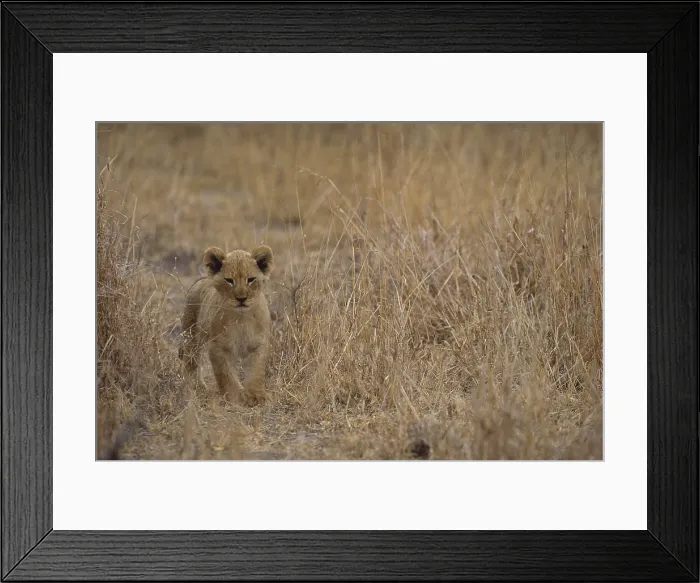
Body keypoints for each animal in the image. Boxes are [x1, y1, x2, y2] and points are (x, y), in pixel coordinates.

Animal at [178, 245, 274, 406]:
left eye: (251, 280)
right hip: (191, 336)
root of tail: (201, 279)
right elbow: (225, 374)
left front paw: (256, 395)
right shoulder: (218, 346)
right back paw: (198, 389)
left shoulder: (258, 344)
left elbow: (256, 371)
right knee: (191, 362)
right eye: (229, 280)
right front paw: (235, 397)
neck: (241, 318)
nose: (242, 298)